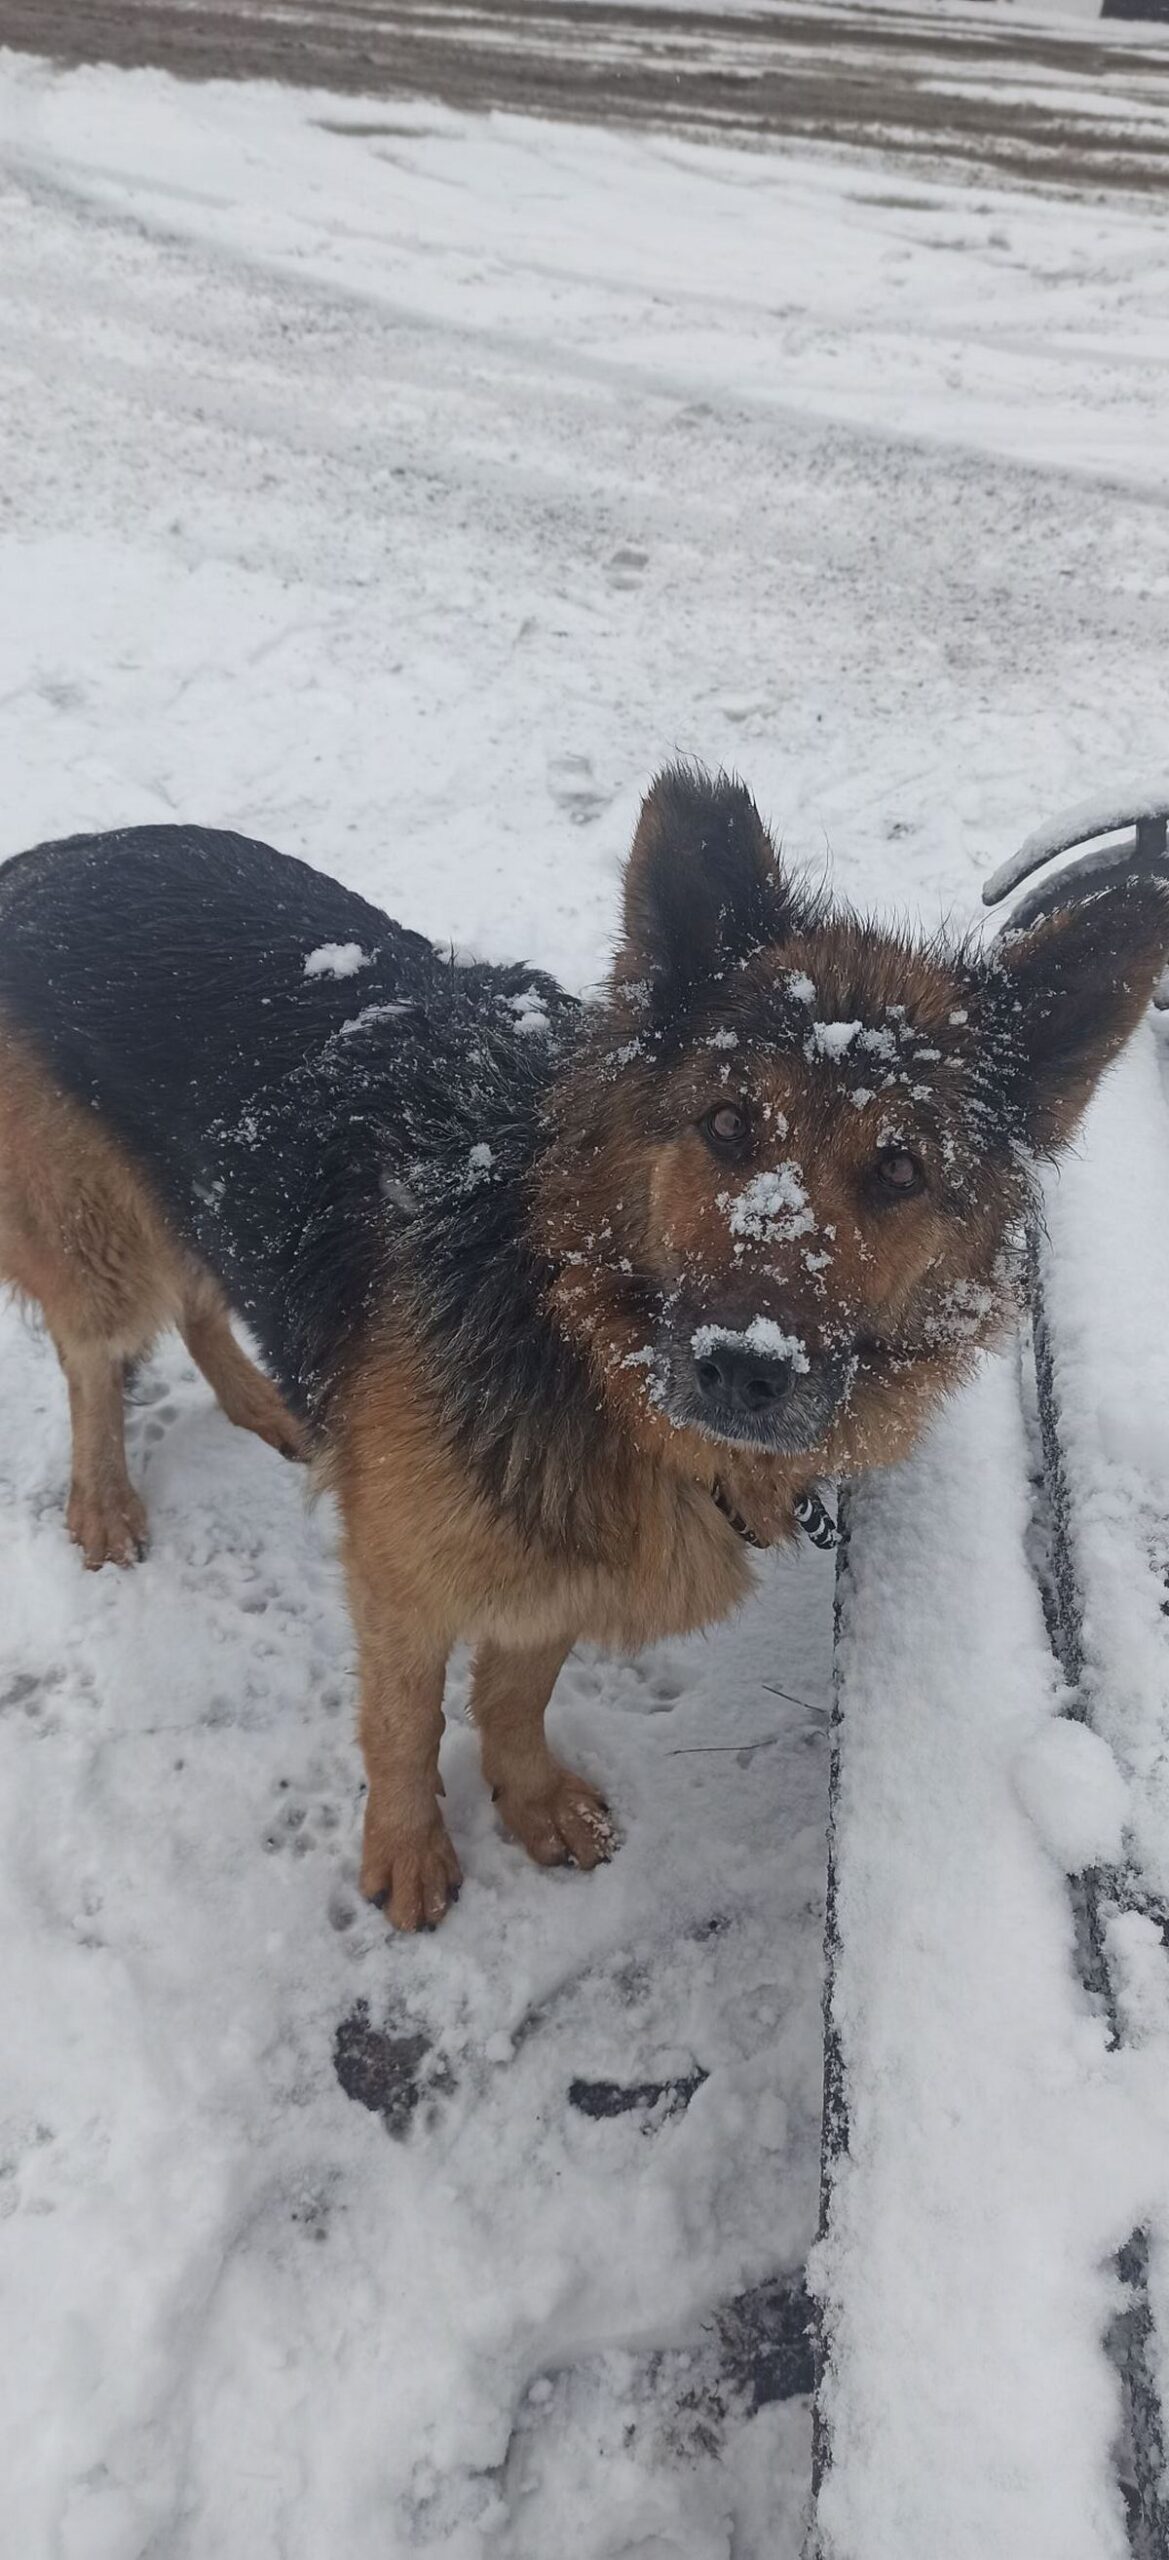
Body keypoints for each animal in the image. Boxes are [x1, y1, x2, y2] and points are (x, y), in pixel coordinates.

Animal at [2, 768, 1166, 1925]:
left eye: (898, 1171)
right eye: (728, 1123)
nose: (743, 1368)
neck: (571, 1325)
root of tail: (45, 860)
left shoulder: (564, 1558)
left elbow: (518, 1690)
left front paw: (526, 1796)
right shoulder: (402, 1576)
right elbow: (405, 1721)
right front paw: (407, 1848)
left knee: (197, 1300)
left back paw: (264, 1404)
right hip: (97, 1233)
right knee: (95, 1356)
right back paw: (104, 1501)